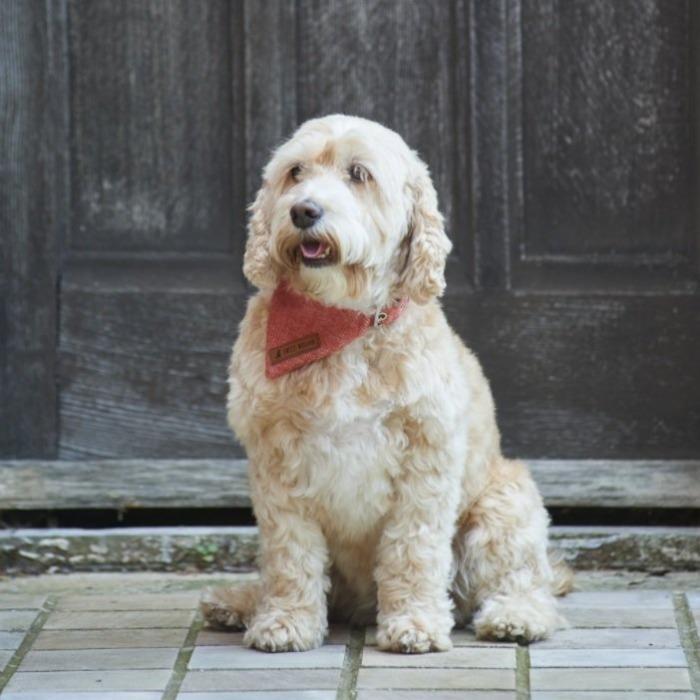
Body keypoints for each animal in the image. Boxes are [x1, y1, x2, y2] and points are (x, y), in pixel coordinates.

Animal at [200, 112, 572, 652]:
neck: (344, 324)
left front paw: (414, 622)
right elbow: (289, 554)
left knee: (522, 580)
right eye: (295, 172)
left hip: (506, 502)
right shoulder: (276, 464)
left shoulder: (425, 461)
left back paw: (516, 616)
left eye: (359, 174)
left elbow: (413, 550)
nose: (303, 210)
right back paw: (237, 602)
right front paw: (285, 620)